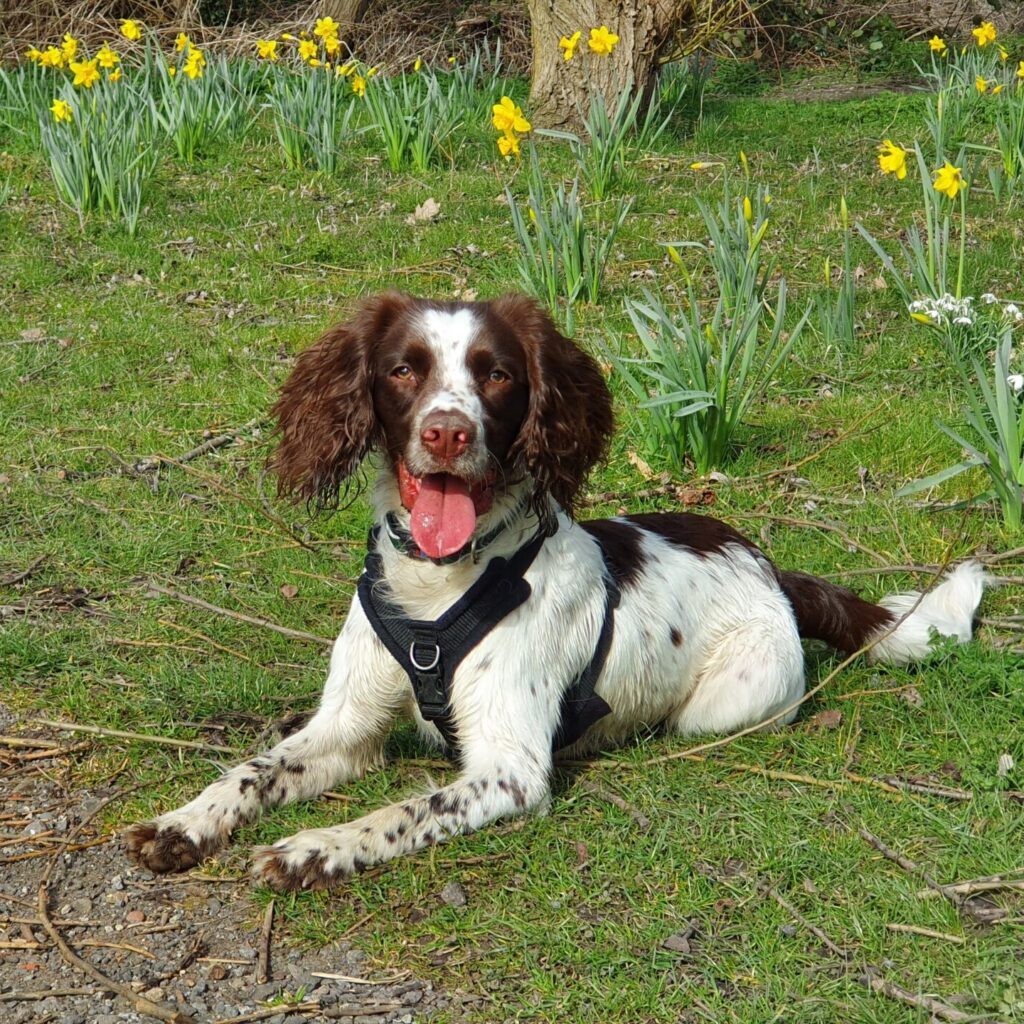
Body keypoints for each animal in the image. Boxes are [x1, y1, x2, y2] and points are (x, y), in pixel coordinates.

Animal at [123, 294, 987, 888]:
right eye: (403, 368)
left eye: (496, 374)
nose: (447, 433)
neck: (440, 585)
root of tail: (765, 559)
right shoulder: (347, 724)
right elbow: (254, 768)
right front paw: (187, 823)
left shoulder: (508, 768)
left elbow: (404, 811)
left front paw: (316, 848)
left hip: (726, 704)